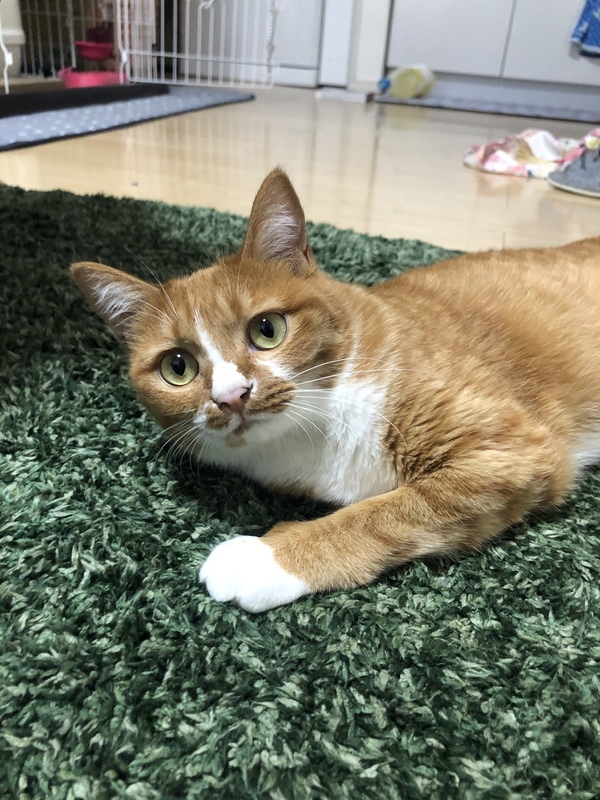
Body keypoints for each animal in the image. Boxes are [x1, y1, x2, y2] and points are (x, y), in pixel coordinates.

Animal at [71, 167, 600, 613]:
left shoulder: (509, 451)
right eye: (177, 367)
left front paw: (266, 557)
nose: (231, 396)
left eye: (267, 330)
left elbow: (386, 513)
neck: (317, 426)